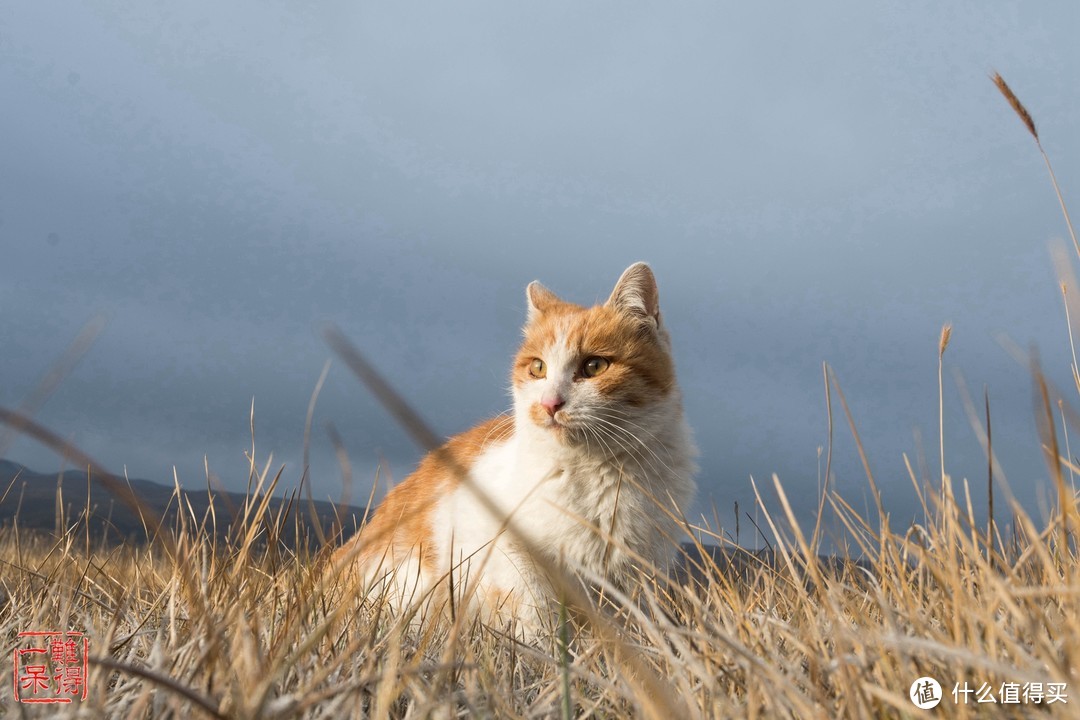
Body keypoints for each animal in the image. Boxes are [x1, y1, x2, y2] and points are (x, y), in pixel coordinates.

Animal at [330, 262, 699, 634]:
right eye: (537, 367)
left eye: (594, 366)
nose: (550, 403)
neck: (593, 472)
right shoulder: (509, 552)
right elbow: (538, 619)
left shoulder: (636, 573)